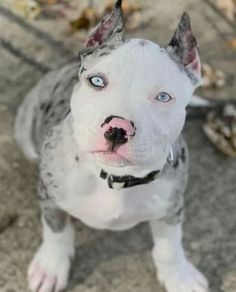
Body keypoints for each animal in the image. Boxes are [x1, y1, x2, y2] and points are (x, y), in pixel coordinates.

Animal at [15, 1, 208, 290]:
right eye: (97, 81)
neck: (115, 177)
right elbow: (56, 230)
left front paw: (179, 276)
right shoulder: (50, 197)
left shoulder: (171, 208)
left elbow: (170, 246)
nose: (117, 129)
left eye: (163, 97)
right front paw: (51, 267)